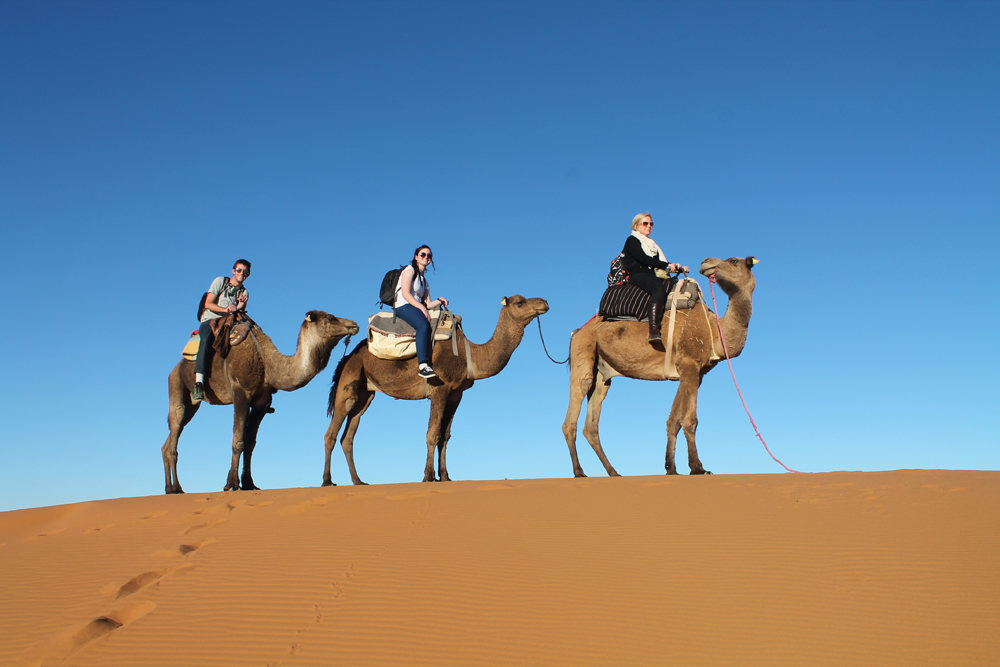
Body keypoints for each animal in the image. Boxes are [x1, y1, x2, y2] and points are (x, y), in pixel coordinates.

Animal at [161, 311, 360, 494]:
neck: (266, 362)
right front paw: (232, 484)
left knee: (171, 437)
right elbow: (238, 440)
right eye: (332, 318)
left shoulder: (262, 402)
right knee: (175, 428)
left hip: (192, 405)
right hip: (177, 386)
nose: (354, 324)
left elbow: (250, 443)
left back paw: (169, 488)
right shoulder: (241, 393)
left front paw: (249, 484)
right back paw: (177, 488)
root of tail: (173, 370)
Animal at [323, 295, 550, 485]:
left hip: (366, 393)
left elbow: (445, 435)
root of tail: (346, 357)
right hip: (349, 381)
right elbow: (433, 433)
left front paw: (446, 476)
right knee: (332, 433)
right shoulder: (440, 389)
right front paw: (428, 476)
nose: (544, 302)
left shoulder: (456, 394)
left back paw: (358, 481)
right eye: (520, 302)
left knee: (348, 436)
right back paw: (327, 481)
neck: (469, 355)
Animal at [562, 256, 757, 476]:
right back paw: (579, 472)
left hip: (602, 374)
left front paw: (671, 468)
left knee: (591, 424)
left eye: (733, 261)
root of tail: (577, 331)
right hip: (583, 353)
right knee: (572, 415)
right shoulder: (689, 364)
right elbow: (690, 420)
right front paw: (698, 467)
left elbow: (674, 421)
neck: (714, 330)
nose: (706, 262)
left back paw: (614, 472)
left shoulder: (693, 373)